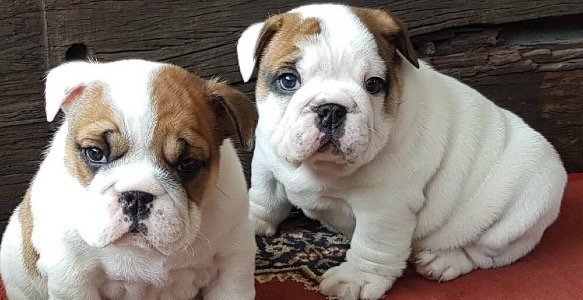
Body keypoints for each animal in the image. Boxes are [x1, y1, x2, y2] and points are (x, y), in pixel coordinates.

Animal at [236, 2, 564, 300]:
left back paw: (443, 260)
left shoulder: (384, 207)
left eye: (374, 85)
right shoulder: (265, 161)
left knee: (485, 252)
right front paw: (249, 221)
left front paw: (356, 279)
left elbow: (373, 244)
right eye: (288, 80)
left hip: (518, 214)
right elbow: (264, 197)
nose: (331, 109)